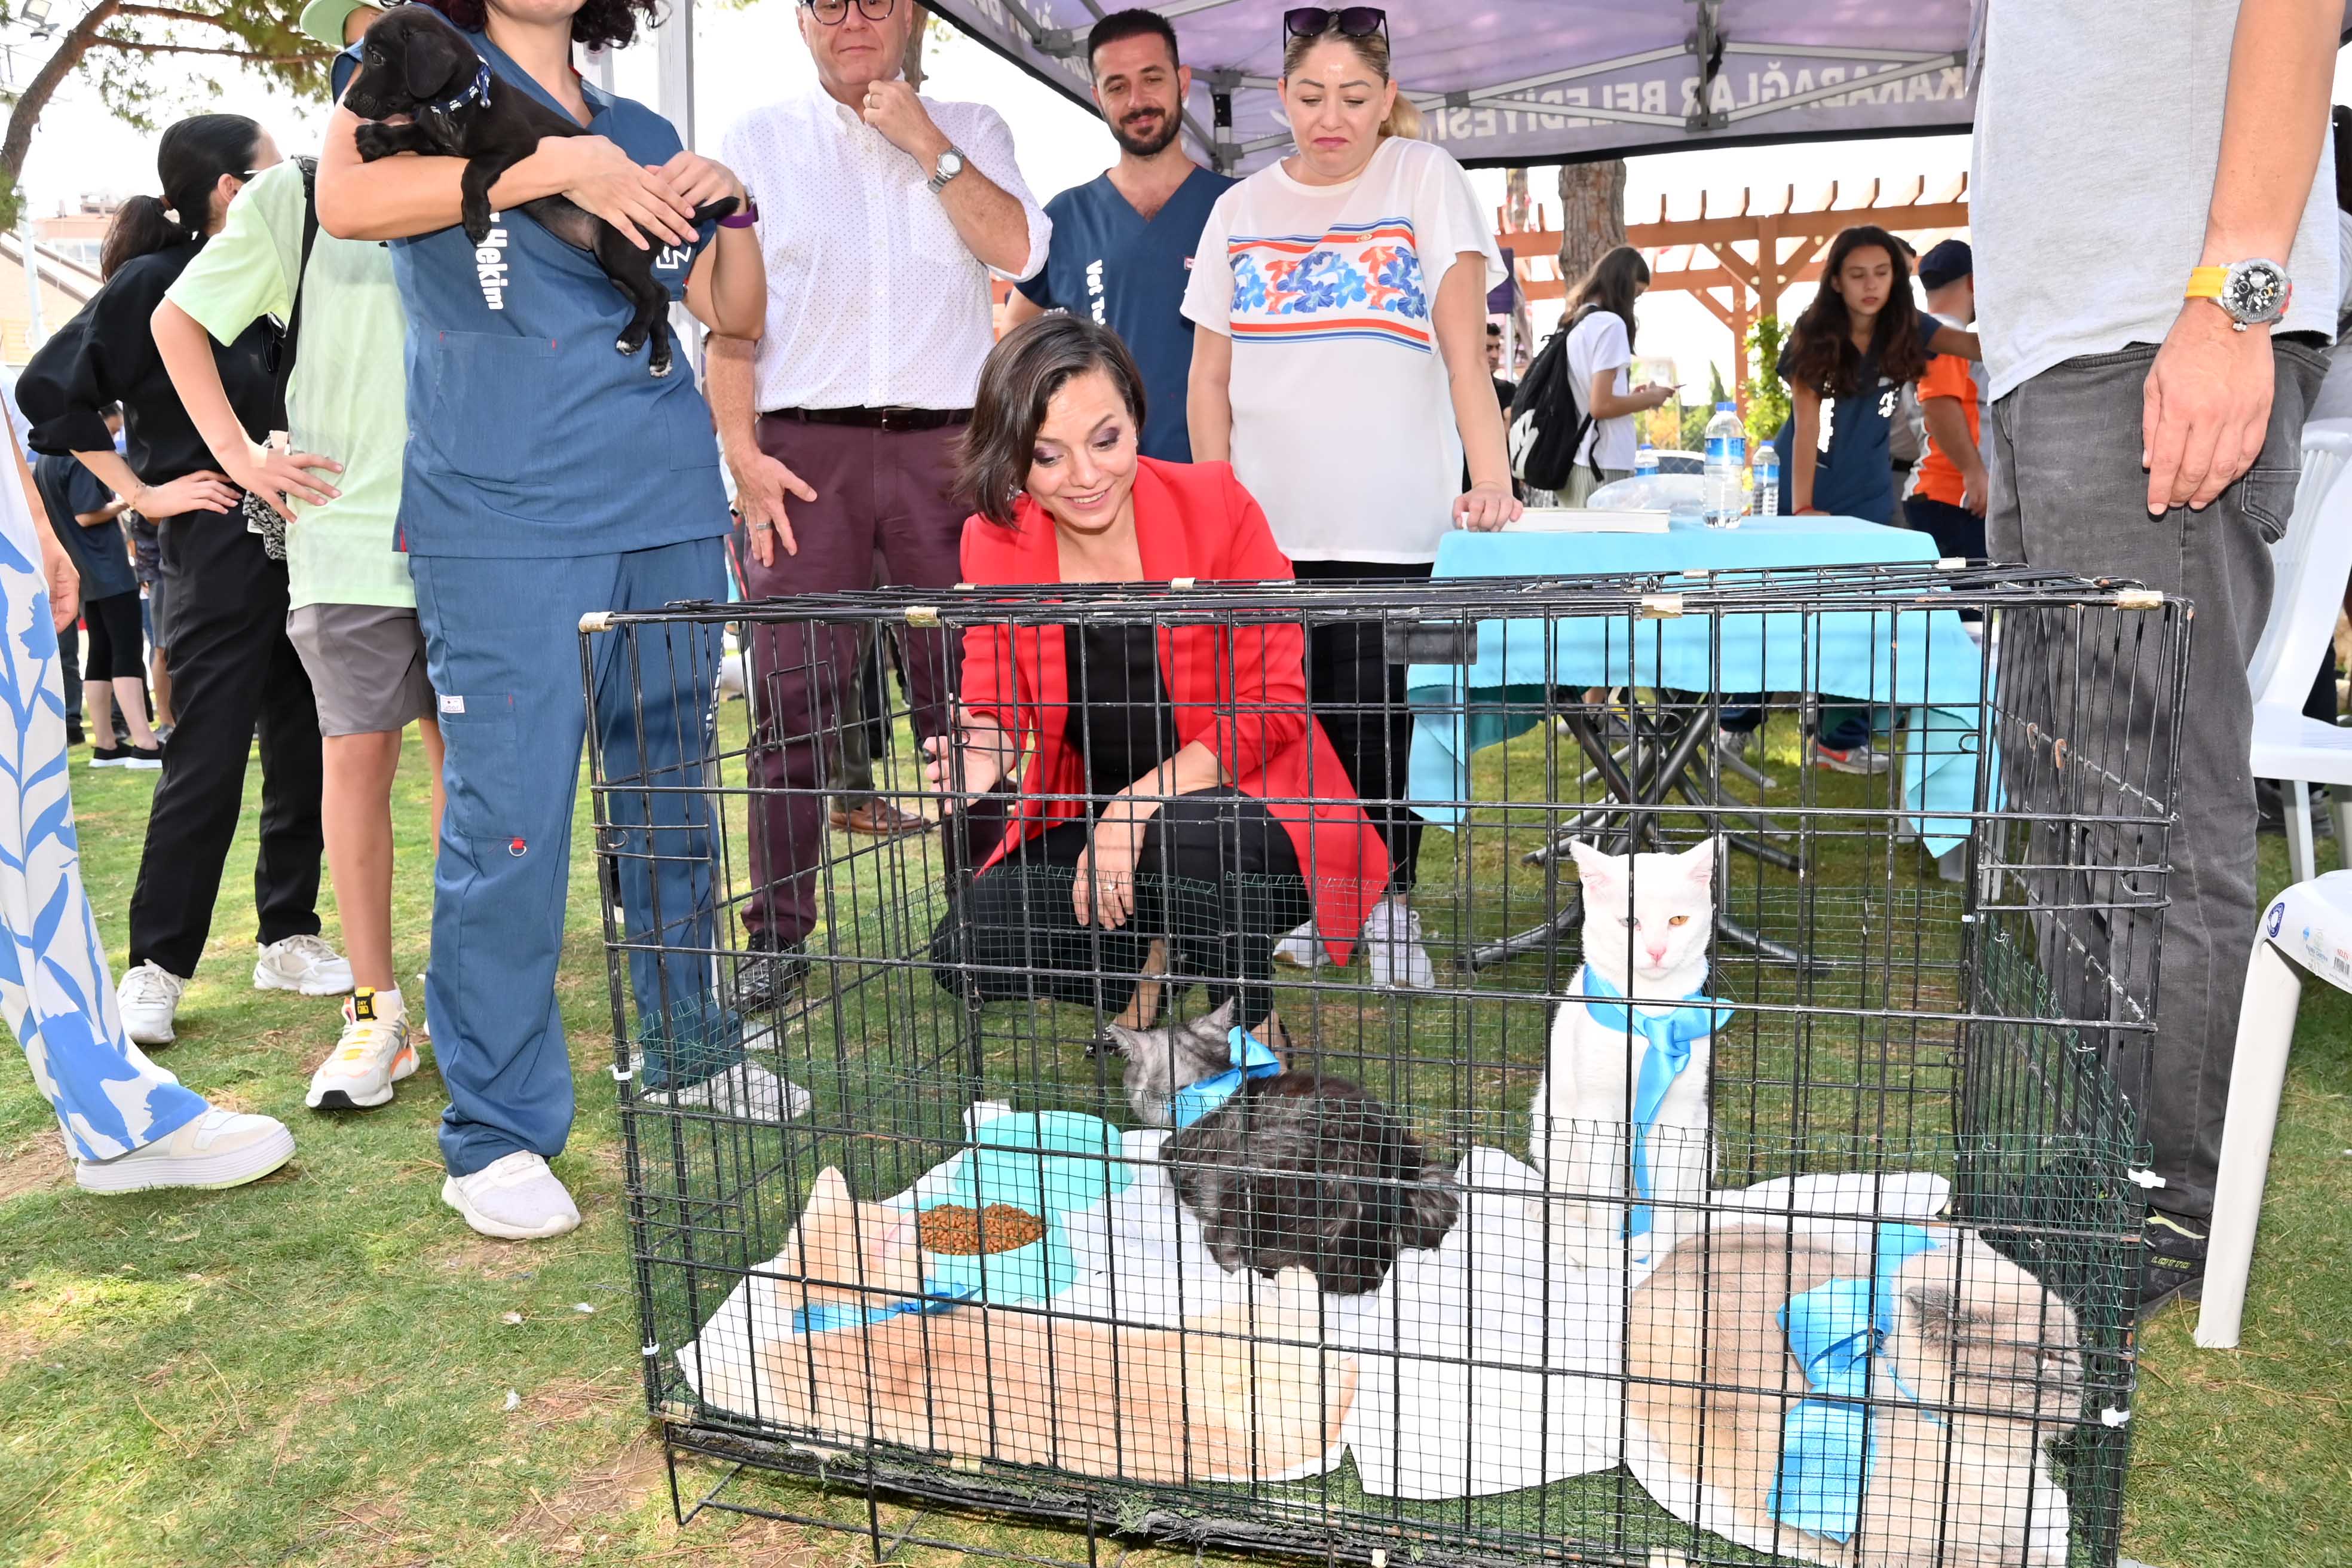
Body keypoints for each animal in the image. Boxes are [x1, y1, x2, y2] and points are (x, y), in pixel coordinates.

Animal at [341, 5, 734, 376]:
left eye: (376, 57)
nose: (347, 103)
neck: (454, 105)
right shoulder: (438, 143)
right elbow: (411, 132)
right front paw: (377, 139)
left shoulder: (518, 145)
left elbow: (473, 170)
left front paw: (477, 218)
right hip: (620, 268)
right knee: (659, 300)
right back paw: (659, 355)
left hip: (617, 249)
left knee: (657, 294)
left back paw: (632, 338)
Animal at [1533, 841, 1722, 1269]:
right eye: (1629, 921)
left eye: (1678, 920)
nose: (1656, 950)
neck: (1648, 1013)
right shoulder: (1597, 1115)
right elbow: (1605, 1194)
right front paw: (1607, 1257)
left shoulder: (1679, 1117)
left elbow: (1665, 1198)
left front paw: (1656, 1253)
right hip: (1548, 1132)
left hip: (1707, 1141)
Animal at [1627, 1222, 2088, 1568]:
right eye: (2044, 1357)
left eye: (2074, 1347)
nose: (2082, 1384)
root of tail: (1673, 1256)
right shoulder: (1899, 1548)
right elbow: (2012, 1559)